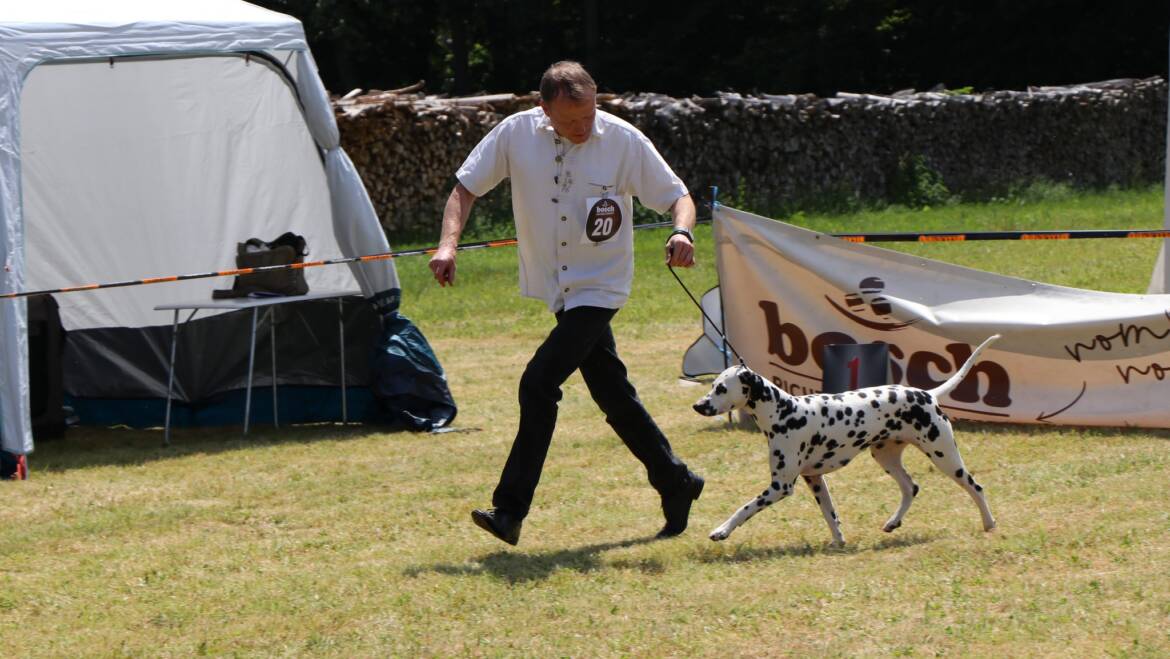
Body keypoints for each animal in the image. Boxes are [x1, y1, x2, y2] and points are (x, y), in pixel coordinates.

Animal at [692, 337, 996, 543]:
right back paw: (893, 522)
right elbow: (831, 515)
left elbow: (744, 509)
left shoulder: (780, 486)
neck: (784, 412)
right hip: (886, 457)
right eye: (712, 385)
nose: (698, 406)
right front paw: (839, 541)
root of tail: (928, 394)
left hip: (945, 457)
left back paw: (989, 523)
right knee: (911, 488)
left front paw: (721, 530)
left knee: (976, 487)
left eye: (721, 388)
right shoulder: (814, 479)